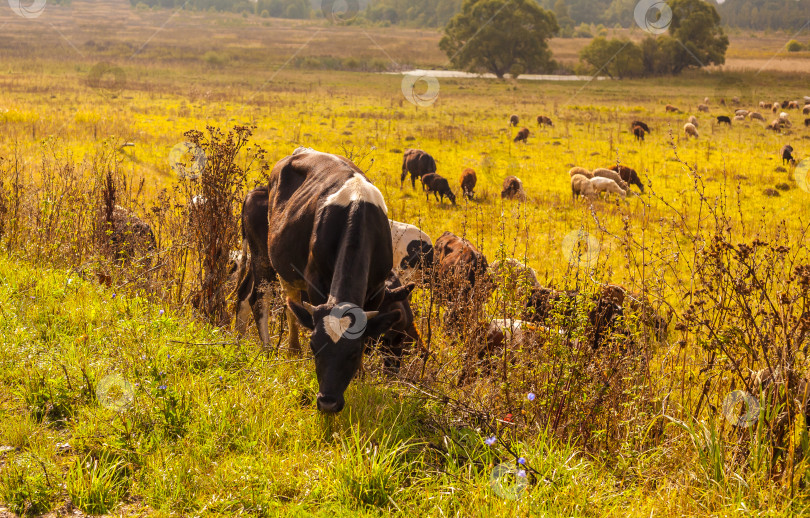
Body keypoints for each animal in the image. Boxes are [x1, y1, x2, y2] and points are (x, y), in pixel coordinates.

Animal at [234, 150, 410, 414]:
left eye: (354, 352)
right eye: (315, 347)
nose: (328, 402)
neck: (357, 210)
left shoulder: (377, 289)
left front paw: (360, 375)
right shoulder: (315, 282)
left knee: (248, 295)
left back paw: (238, 340)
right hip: (263, 257)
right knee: (261, 300)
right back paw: (271, 350)